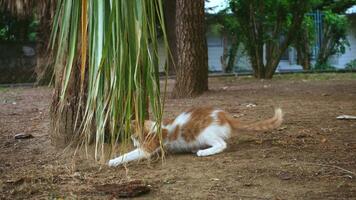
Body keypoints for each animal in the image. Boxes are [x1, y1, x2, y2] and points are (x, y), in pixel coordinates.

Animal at [107, 107, 282, 166]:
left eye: (135, 137)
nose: (135, 144)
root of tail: (224, 115)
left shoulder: (148, 148)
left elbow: (128, 155)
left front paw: (113, 161)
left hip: (204, 133)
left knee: (222, 144)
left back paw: (203, 151)